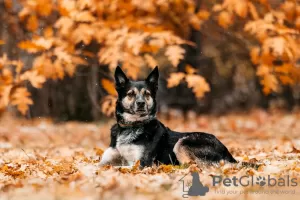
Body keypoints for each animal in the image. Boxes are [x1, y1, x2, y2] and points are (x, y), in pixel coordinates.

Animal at [99, 66, 237, 167]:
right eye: (130, 94)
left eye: (147, 94)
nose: (141, 103)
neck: (131, 126)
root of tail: (228, 153)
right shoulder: (107, 159)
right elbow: (100, 166)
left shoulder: (141, 163)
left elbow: (118, 167)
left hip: (183, 142)